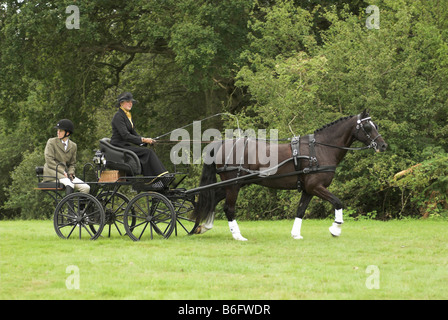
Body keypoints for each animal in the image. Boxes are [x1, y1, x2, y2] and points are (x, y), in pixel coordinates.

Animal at [191, 110, 386, 240]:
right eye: (367, 126)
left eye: (375, 125)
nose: (383, 145)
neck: (320, 149)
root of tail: (222, 143)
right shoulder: (316, 187)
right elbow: (338, 202)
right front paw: (335, 229)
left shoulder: (308, 189)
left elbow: (300, 210)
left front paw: (295, 234)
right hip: (233, 184)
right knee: (228, 208)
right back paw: (237, 235)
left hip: (237, 183)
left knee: (212, 198)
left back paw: (203, 226)